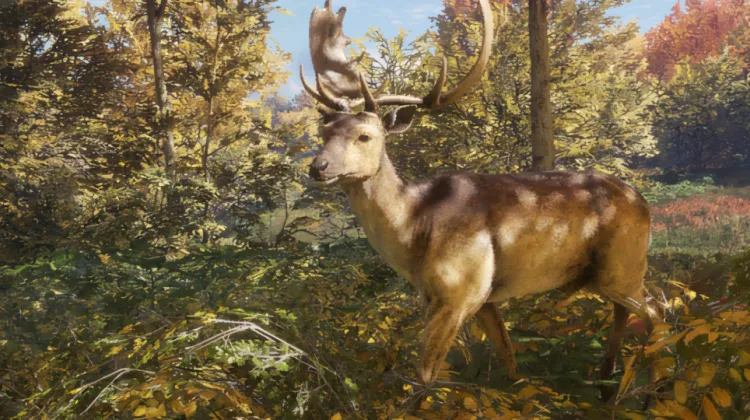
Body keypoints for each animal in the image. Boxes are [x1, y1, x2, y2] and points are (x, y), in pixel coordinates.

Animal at [302, 0, 661, 405]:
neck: (415, 230)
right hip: (608, 273)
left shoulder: (461, 289)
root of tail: (644, 203)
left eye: (365, 135)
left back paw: (650, 393)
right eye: (325, 131)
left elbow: (425, 374)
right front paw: (523, 396)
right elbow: (508, 356)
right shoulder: (474, 296)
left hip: (625, 264)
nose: (318, 166)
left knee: (658, 310)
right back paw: (605, 385)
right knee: (625, 312)